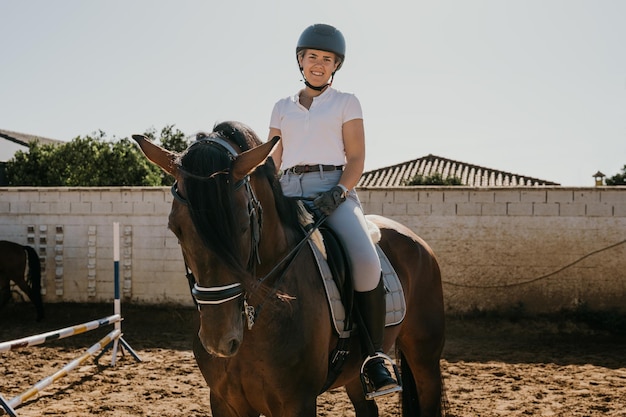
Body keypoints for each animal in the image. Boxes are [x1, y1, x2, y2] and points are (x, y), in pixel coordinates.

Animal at [132, 121, 446, 416]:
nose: (219, 341)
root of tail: (417, 241)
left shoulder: (296, 403)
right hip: (355, 374)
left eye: (243, 224)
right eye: (176, 228)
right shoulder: (225, 402)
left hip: (424, 357)